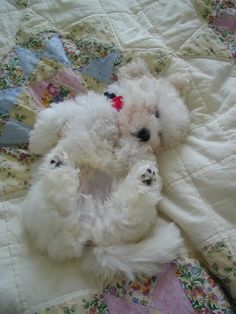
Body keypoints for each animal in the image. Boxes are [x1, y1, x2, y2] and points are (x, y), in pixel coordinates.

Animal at [23, 59, 190, 280]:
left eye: (161, 135)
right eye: (156, 112)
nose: (147, 135)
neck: (118, 123)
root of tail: (89, 231)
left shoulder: (128, 153)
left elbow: (124, 155)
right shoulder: (82, 110)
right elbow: (55, 116)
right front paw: (37, 142)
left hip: (109, 220)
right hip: (51, 214)